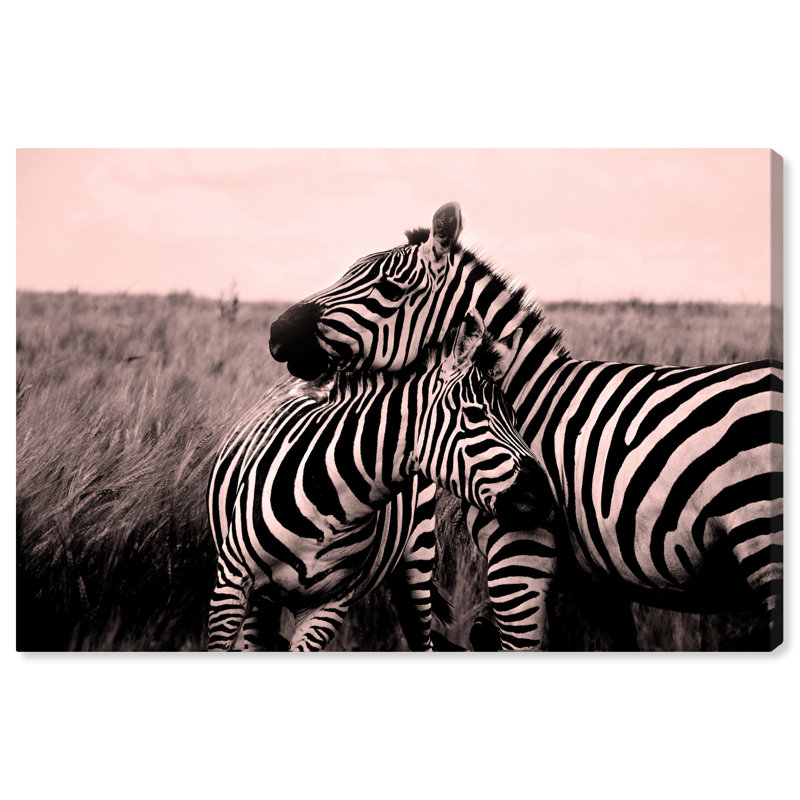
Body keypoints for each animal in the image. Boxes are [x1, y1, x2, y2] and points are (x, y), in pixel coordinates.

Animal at [207, 315, 548, 651]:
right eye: (474, 415)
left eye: (516, 419)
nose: (541, 494)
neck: (330, 504)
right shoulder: (231, 583)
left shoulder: (328, 605)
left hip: (417, 562)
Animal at [269, 202, 784, 650]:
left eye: (389, 290)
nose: (276, 332)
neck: (526, 402)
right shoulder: (597, 582)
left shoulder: (518, 553)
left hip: (762, 536)